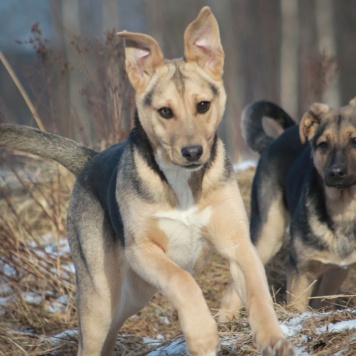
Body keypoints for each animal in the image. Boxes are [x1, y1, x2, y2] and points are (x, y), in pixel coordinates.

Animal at [0, 8, 292, 356]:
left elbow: (258, 289)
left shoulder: (238, 243)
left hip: (130, 296)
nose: (193, 152)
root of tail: (89, 160)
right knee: (90, 338)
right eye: (165, 111)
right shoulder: (142, 250)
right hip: (100, 295)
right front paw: (202, 334)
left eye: (203, 105)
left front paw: (272, 338)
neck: (182, 182)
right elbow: (181, 280)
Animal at [225, 98, 356, 312]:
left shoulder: (335, 270)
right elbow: (296, 308)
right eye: (323, 145)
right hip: (268, 234)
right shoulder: (300, 270)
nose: (336, 173)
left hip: (334, 273)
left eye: (354, 140)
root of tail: (272, 141)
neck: (344, 211)